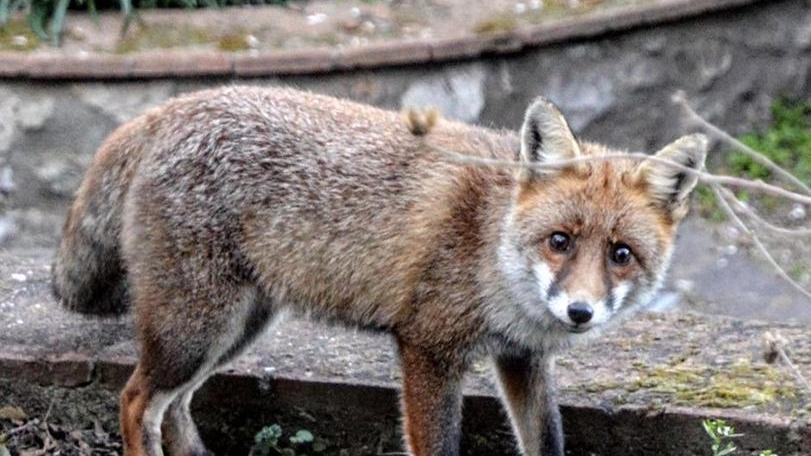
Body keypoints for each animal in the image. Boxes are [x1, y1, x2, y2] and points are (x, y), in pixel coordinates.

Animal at [52, 85, 707, 456]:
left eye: (621, 253)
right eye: (560, 241)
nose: (579, 312)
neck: (490, 246)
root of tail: (169, 107)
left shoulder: (522, 358)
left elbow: (546, 443)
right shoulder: (427, 347)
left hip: (234, 329)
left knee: (177, 410)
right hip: (196, 330)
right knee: (136, 401)